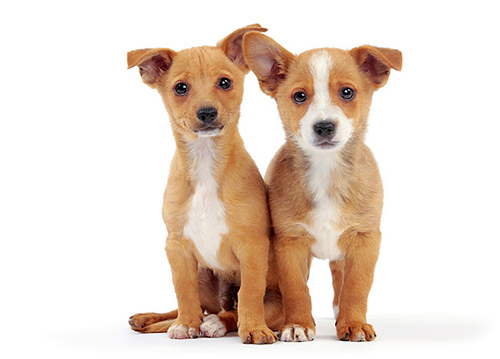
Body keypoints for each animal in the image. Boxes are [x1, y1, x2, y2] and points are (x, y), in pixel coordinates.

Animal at [126, 25, 278, 346]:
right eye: (180, 88)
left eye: (225, 82)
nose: (207, 112)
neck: (206, 162)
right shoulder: (176, 246)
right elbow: (182, 291)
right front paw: (185, 324)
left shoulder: (253, 246)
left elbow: (250, 292)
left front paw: (254, 329)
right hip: (202, 275)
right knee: (195, 306)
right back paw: (153, 319)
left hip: (274, 301)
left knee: (229, 312)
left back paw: (216, 324)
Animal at [243, 31, 402, 344]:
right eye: (299, 96)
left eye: (347, 92)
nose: (324, 126)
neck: (326, 171)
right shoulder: (289, 244)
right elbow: (296, 290)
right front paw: (298, 324)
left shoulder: (365, 240)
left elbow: (356, 287)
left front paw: (354, 323)